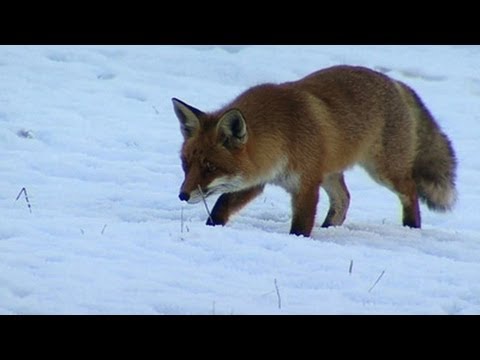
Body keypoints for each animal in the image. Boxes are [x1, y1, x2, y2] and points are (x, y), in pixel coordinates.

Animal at [172, 65, 458, 238]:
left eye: (210, 167)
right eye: (186, 164)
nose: (182, 195)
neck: (280, 137)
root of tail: (396, 82)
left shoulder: (306, 184)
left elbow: (300, 225)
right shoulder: (257, 179)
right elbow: (220, 207)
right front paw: (211, 229)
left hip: (384, 171)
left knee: (410, 191)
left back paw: (411, 228)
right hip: (331, 172)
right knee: (344, 199)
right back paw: (329, 228)